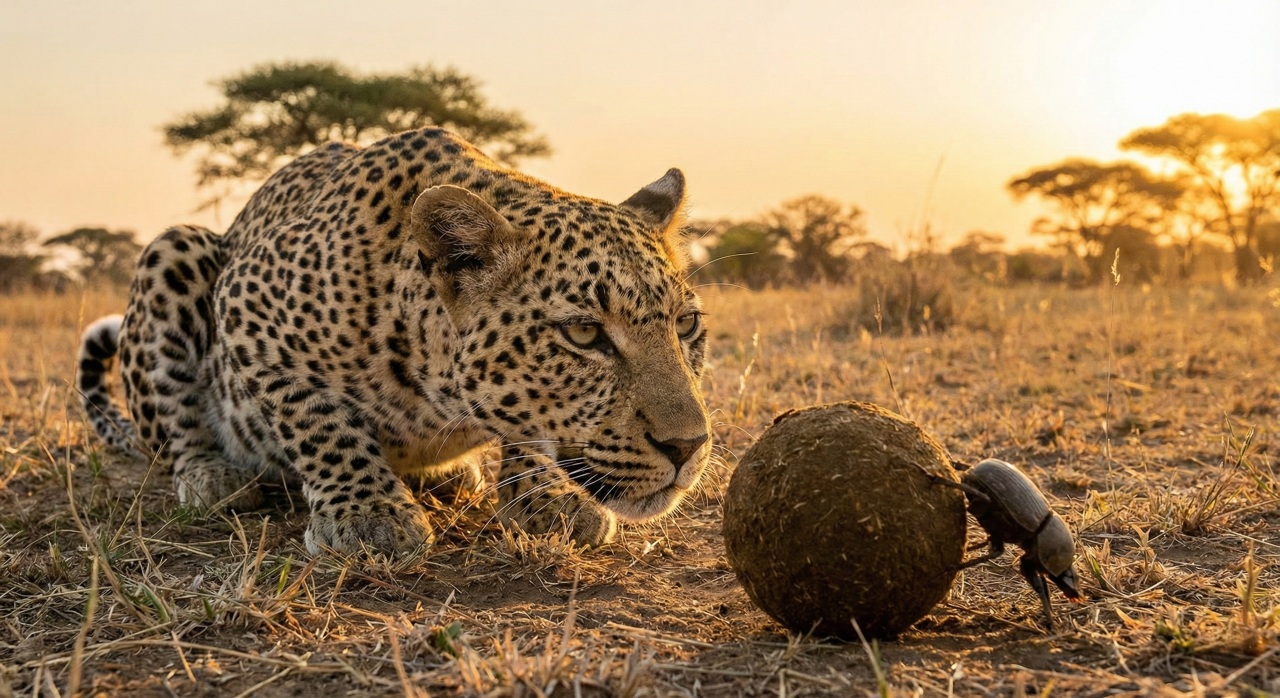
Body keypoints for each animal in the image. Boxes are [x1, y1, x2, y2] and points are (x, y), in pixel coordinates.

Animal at [76, 128, 712, 556]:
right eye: (583, 333)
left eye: (685, 326)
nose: (688, 447)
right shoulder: (247, 304)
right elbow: (316, 418)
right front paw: (369, 514)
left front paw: (549, 496)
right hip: (175, 249)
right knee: (173, 432)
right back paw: (212, 476)